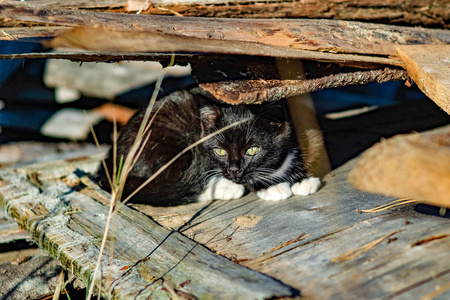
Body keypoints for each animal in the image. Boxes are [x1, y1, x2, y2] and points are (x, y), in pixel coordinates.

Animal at [98, 89, 320, 206]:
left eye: (252, 150)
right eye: (220, 151)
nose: (234, 170)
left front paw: (302, 179)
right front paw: (272, 187)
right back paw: (223, 188)